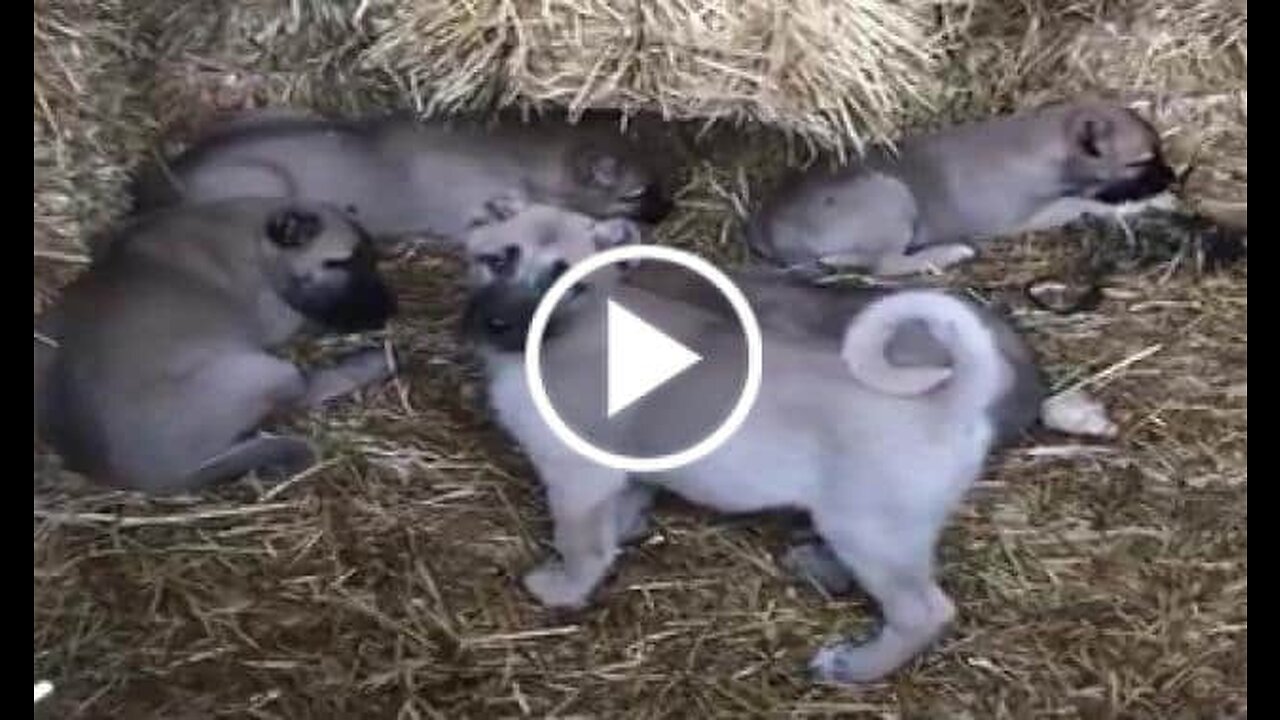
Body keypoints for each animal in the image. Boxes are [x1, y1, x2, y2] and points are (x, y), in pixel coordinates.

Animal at [35, 197, 396, 491]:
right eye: (342, 262)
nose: (387, 310)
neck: (252, 239)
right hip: (266, 370)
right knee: (303, 393)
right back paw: (371, 363)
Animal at [460, 198, 1029, 681]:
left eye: (568, 283)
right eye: (497, 260)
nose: (497, 323)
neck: (581, 327)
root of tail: (952, 399)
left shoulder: (578, 477)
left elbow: (581, 544)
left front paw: (563, 587)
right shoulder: (622, 472)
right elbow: (620, 514)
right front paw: (624, 533)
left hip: (871, 527)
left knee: (921, 611)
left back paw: (855, 668)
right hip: (873, 527)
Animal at [747, 102, 1177, 275]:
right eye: (1140, 161)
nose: (1173, 176)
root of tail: (766, 228)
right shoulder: (1024, 216)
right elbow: (1085, 203)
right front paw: (1149, 203)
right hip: (890, 200)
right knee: (885, 265)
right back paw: (949, 253)